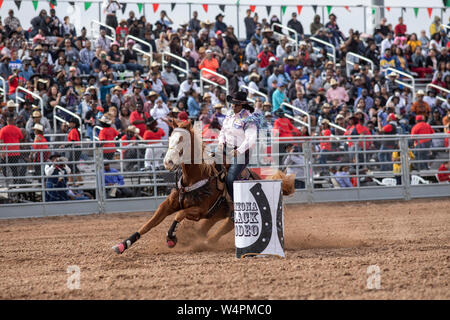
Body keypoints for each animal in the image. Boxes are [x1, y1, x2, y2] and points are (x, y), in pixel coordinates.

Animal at [112, 120, 296, 255]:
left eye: (182, 140)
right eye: (170, 138)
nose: (167, 162)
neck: (196, 177)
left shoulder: (199, 210)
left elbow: (179, 215)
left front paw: (171, 237)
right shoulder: (168, 205)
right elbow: (148, 224)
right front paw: (122, 245)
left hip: (234, 214)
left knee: (221, 230)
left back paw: (205, 243)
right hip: (216, 214)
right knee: (206, 230)